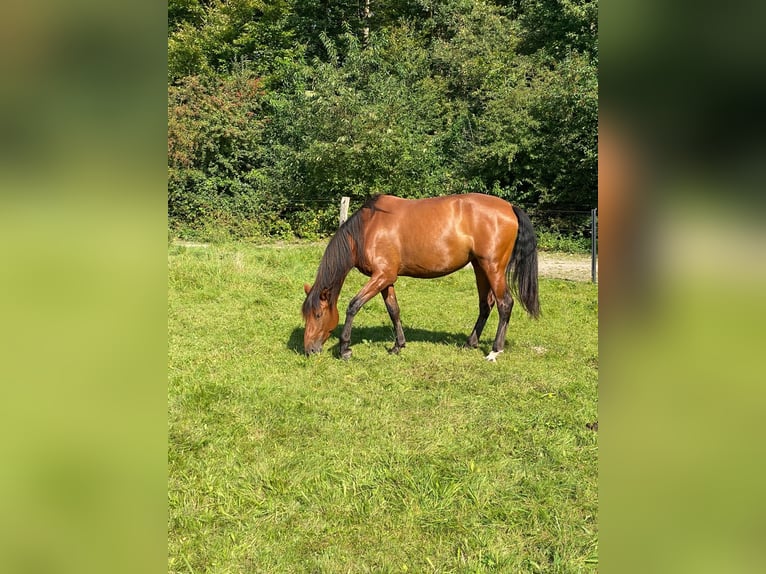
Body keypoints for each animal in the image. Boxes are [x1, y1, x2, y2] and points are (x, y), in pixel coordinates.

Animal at [300, 196, 540, 362]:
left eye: (318, 314)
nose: (309, 350)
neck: (367, 229)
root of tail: (509, 207)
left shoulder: (382, 276)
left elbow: (353, 306)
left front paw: (344, 349)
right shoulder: (386, 279)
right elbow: (393, 310)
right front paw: (398, 346)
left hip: (493, 268)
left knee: (504, 304)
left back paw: (494, 351)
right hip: (480, 267)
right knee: (486, 304)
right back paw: (470, 343)